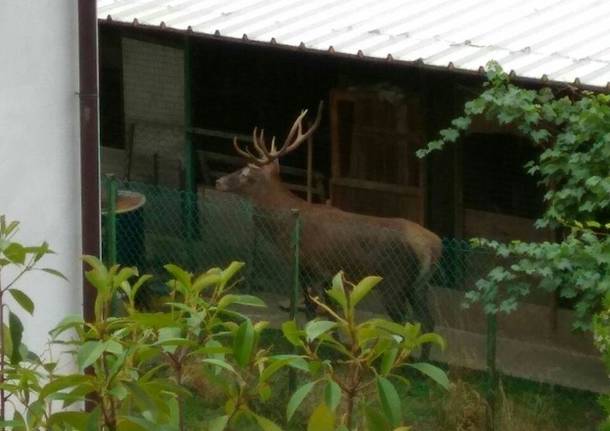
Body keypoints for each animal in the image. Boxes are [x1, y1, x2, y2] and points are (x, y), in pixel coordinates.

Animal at [216, 103, 440, 360]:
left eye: (244, 172)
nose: (219, 181)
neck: (285, 228)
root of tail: (433, 245)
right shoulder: (328, 275)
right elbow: (330, 316)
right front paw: (340, 349)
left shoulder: (308, 266)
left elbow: (311, 311)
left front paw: (309, 349)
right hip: (418, 285)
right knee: (427, 322)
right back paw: (421, 363)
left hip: (395, 279)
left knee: (404, 324)